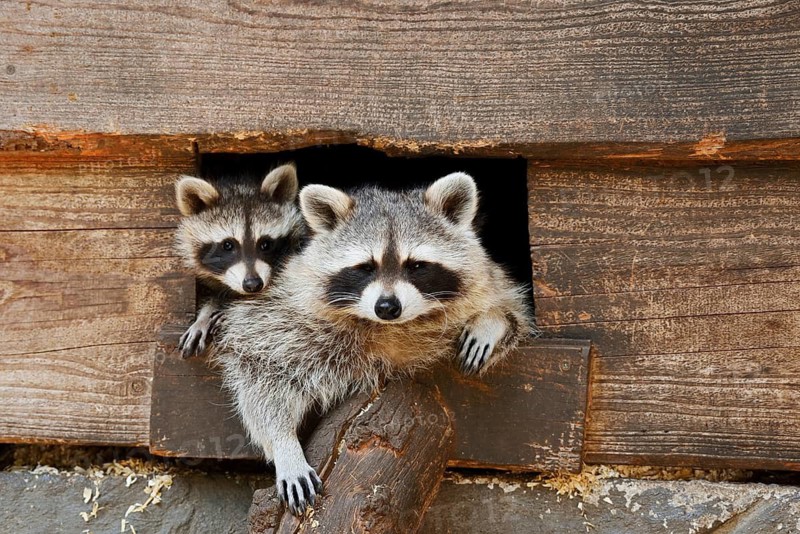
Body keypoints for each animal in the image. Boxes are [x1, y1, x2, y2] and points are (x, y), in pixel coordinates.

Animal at [214, 172, 535, 515]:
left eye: (416, 265)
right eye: (366, 267)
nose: (387, 306)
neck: (391, 327)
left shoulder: (486, 282)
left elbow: (511, 306)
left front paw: (492, 321)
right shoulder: (285, 310)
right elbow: (261, 368)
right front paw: (285, 444)